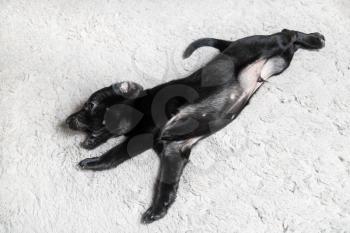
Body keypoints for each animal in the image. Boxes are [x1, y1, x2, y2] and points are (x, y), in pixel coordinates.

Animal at [66, 29, 326, 224]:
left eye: (89, 105)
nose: (66, 121)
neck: (142, 104)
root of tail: (231, 43)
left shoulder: (147, 134)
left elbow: (117, 153)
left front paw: (92, 162)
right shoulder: (175, 150)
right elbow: (167, 182)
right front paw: (159, 209)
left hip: (272, 47)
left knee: (288, 33)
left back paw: (316, 39)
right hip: (280, 63)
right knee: (290, 41)